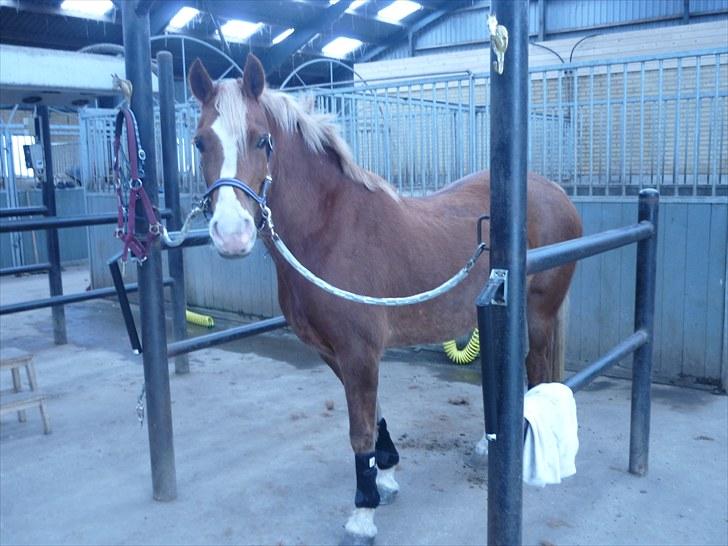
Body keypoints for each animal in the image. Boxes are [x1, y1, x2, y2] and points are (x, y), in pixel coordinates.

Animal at [188, 54, 582, 544]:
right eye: (200, 142)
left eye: (263, 140)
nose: (231, 234)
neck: (330, 229)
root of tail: (557, 191)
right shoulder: (336, 353)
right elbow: (373, 415)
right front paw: (387, 475)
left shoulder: (360, 351)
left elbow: (358, 429)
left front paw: (363, 512)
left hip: (540, 315)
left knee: (538, 371)